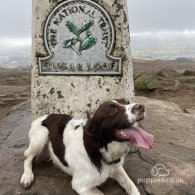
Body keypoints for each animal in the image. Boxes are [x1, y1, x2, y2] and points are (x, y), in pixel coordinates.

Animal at [20, 99, 154, 195]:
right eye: (112, 110)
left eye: (127, 102)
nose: (141, 106)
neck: (99, 150)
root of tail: (44, 116)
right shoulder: (80, 185)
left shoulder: (117, 167)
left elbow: (132, 186)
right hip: (42, 134)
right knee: (27, 157)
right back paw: (27, 176)